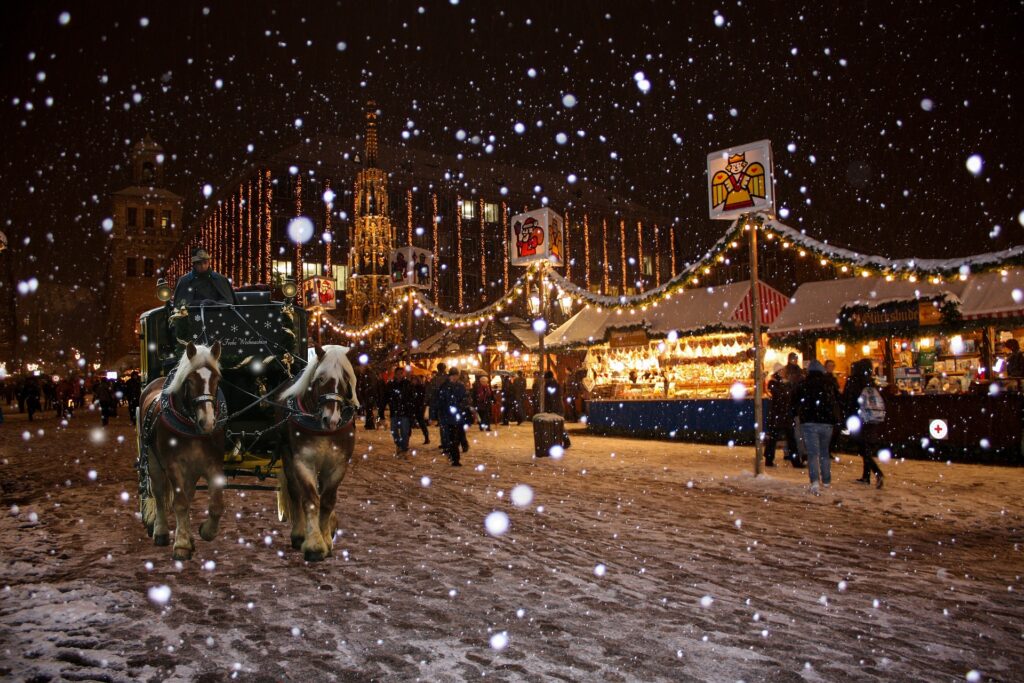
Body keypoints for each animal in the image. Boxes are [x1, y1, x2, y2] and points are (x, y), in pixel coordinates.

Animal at [139, 342, 225, 561]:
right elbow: (179, 503)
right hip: (153, 462)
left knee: (188, 493)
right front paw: (182, 545)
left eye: (216, 379)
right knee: (159, 493)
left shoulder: (213, 464)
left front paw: (205, 532)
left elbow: (216, 505)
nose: (207, 422)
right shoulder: (173, 466)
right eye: (190, 380)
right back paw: (161, 531)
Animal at [278, 344, 358, 565]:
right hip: (287, 455)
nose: (332, 419)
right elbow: (311, 500)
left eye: (346, 379)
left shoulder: (339, 463)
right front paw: (314, 544)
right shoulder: (303, 461)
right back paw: (299, 534)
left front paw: (326, 539)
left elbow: (328, 500)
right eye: (321, 378)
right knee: (295, 491)